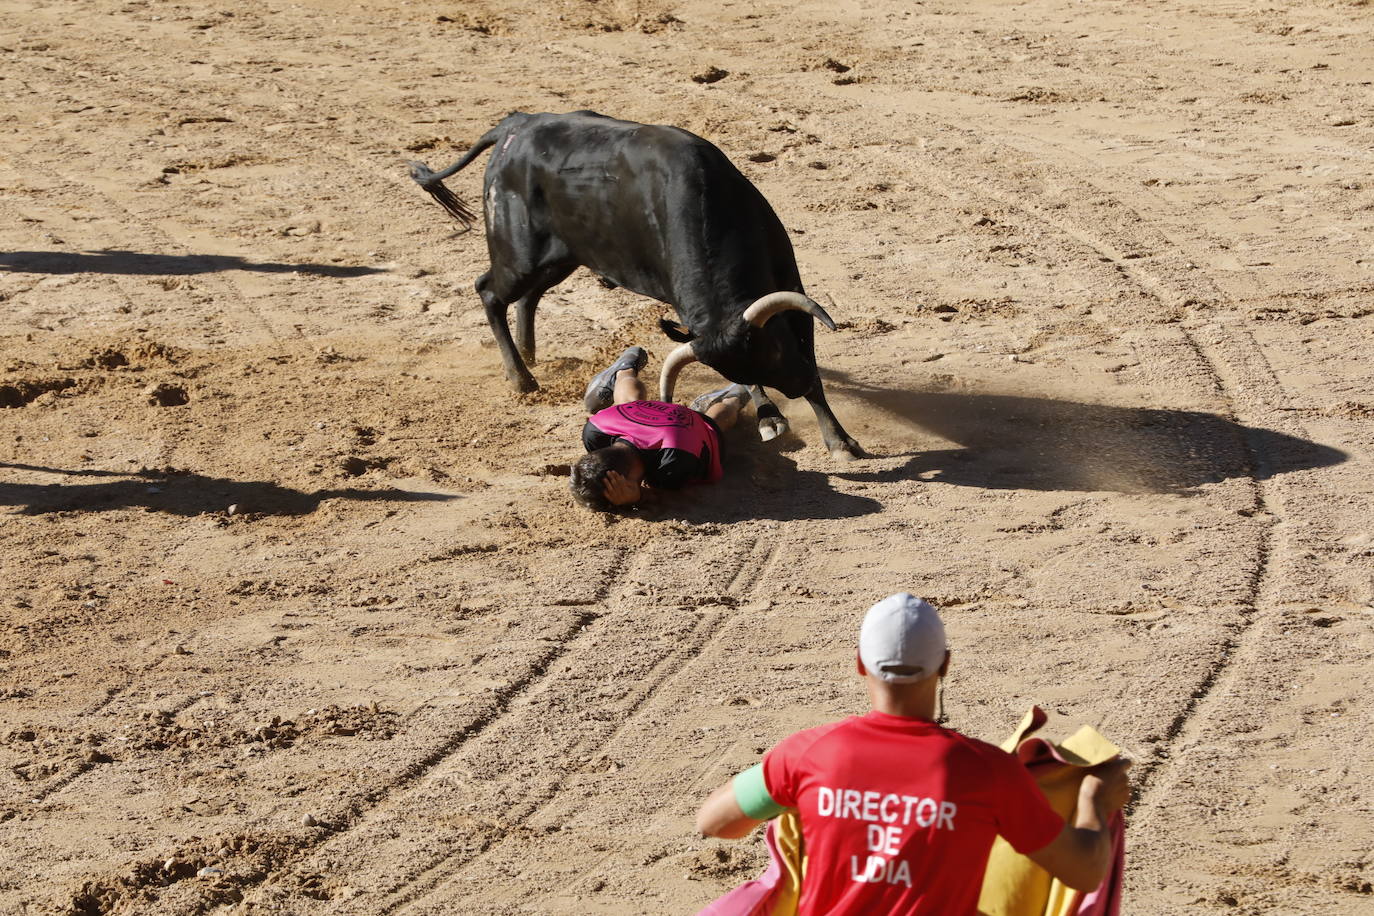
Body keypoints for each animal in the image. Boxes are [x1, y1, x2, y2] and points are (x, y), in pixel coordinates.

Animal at [406, 108, 857, 461]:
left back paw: (529, 356)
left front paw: (840, 440)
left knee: (526, 296)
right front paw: (771, 419)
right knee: (489, 291)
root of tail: (514, 125)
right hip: (519, 255)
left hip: (561, 257)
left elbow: (811, 363)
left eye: (775, 347)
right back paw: (521, 378)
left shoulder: (790, 284)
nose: (795, 386)